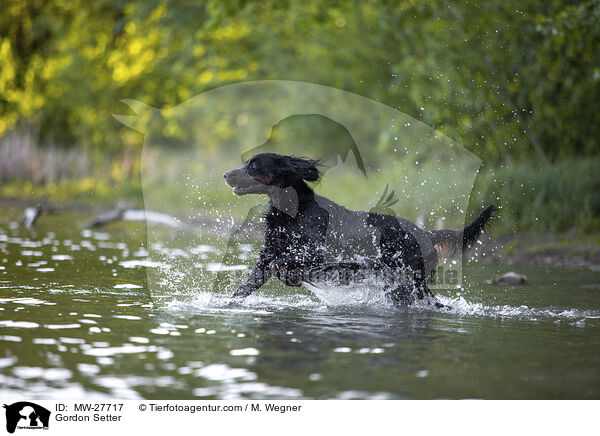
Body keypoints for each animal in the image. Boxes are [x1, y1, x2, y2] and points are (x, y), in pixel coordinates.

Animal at [223, 153, 494, 306]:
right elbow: (246, 285)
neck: (296, 212)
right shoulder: (267, 256)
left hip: (408, 283)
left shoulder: (314, 256)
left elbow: (283, 262)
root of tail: (426, 233)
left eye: (253, 166)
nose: (225, 174)